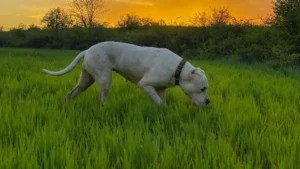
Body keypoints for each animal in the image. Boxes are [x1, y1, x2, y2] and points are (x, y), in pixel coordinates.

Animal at [42, 41, 211, 106]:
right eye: (203, 88)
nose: (208, 101)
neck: (178, 69)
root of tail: (87, 50)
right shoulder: (145, 85)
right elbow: (158, 102)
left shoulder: (161, 89)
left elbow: (162, 101)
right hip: (105, 79)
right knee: (102, 98)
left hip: (86, 79)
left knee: (71, 93)